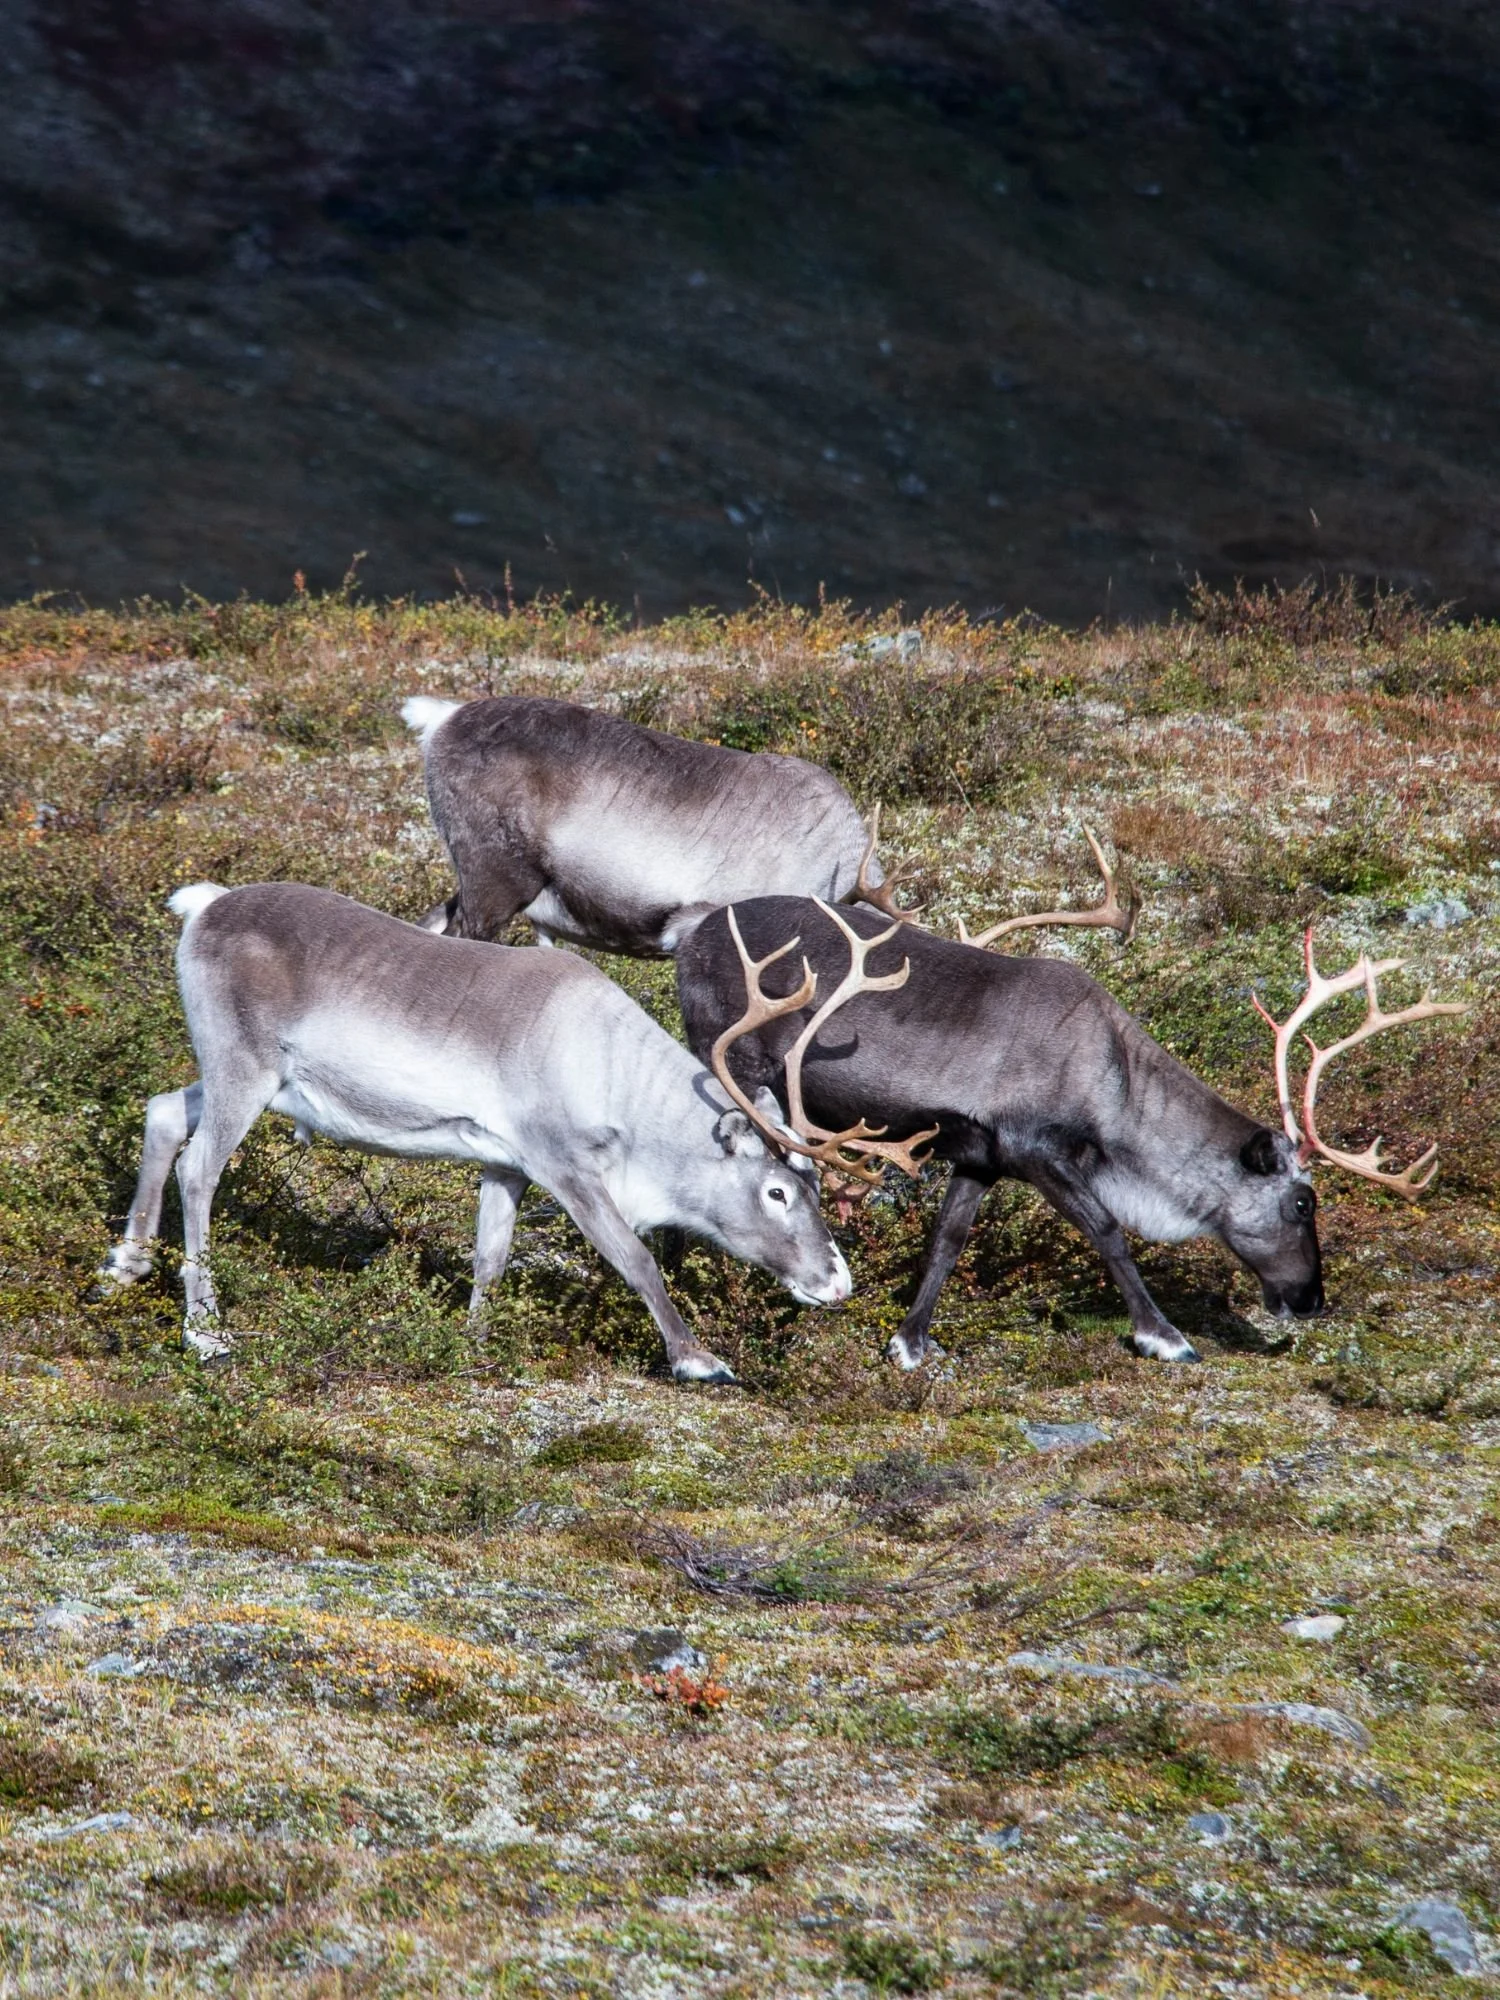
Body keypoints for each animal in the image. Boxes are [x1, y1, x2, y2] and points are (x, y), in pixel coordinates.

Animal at [94, 882, 864, 1381]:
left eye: (813, 1185)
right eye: (775, 1192)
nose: (837, 1284)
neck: (614, 1074)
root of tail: (203, 907)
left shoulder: (506, 1165)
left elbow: (489, 1258)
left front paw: (472, 1346)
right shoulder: (564, 1164)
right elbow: (634, 1258)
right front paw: (697, 1359)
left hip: (254, 1082)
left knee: (163, 1110)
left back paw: (126, 1263)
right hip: (243, 1068)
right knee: (200, 1169)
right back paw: (204, 1330)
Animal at [675, 895, 1467, 1368]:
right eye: (1304, 1202)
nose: (1309, 1299)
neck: (1112, 1084)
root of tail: (691, 938)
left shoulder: (980, 1155)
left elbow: (947, 1240)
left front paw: (910, 1342)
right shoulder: (1036, 1148)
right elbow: (1108, 1230)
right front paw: (1165, 1336)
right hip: (730, 1060)